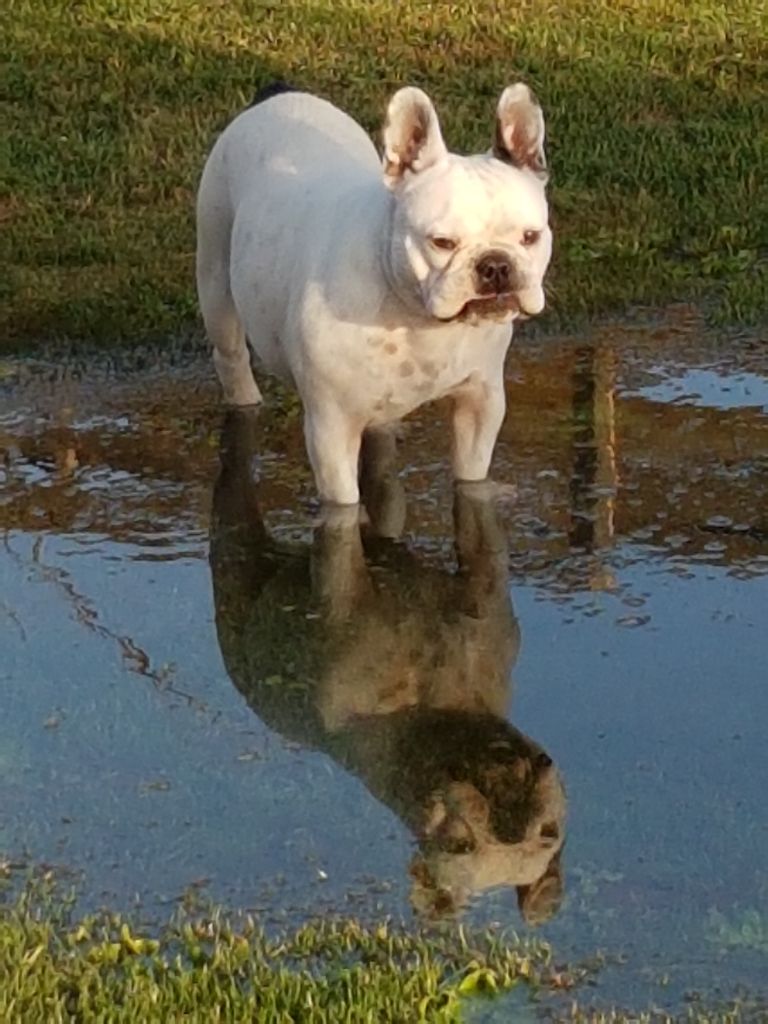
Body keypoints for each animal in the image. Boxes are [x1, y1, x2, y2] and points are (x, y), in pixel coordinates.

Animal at [195, 81, 548, 505]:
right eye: (442, 242)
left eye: (530, 236)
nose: (495, 266)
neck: (414, 313)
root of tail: (276, 94)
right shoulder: (330, 431)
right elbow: (344, 506)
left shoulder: (480, 403)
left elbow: (471, 476)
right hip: (215, 276)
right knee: (230, 355)